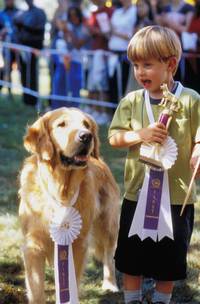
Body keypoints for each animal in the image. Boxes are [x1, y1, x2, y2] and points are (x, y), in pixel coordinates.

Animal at [18, 107, 119, 304]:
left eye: (86, 124)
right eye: (61, 124)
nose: (86, 136)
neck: (61, 191)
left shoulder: (78, 243)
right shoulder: (33, 245)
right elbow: (36, 289)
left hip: (108, 224)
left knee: (109, 255)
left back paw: (110, 285)